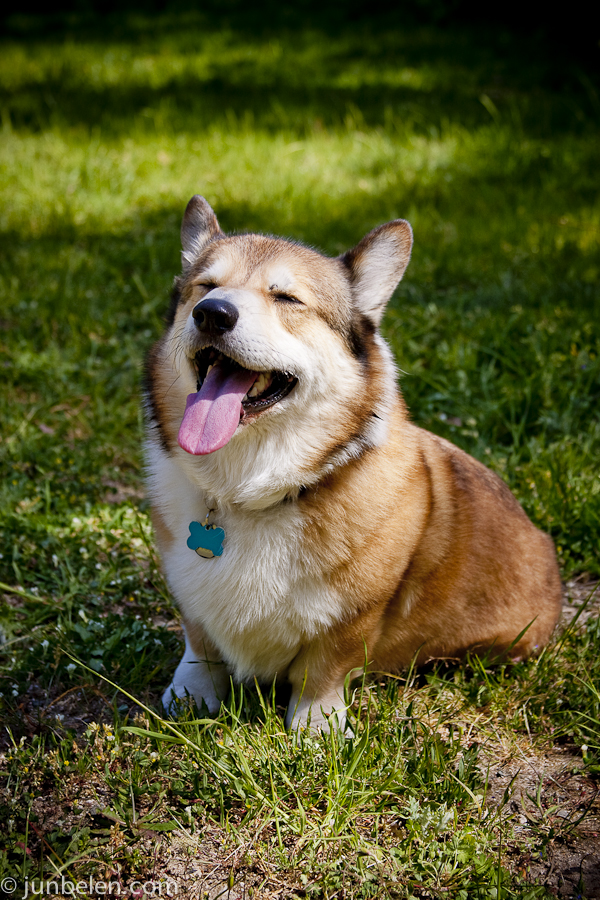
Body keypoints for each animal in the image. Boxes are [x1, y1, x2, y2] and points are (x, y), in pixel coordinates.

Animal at [145, 197, 564, 732]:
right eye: (205, 287)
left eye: (287, 299)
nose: (212, 314)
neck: (248, 491)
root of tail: (543, 542)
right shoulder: (191, 598)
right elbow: (200, 647)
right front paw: (191, 697)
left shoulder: (353, 618)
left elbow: (322, 671)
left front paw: (314, 730)